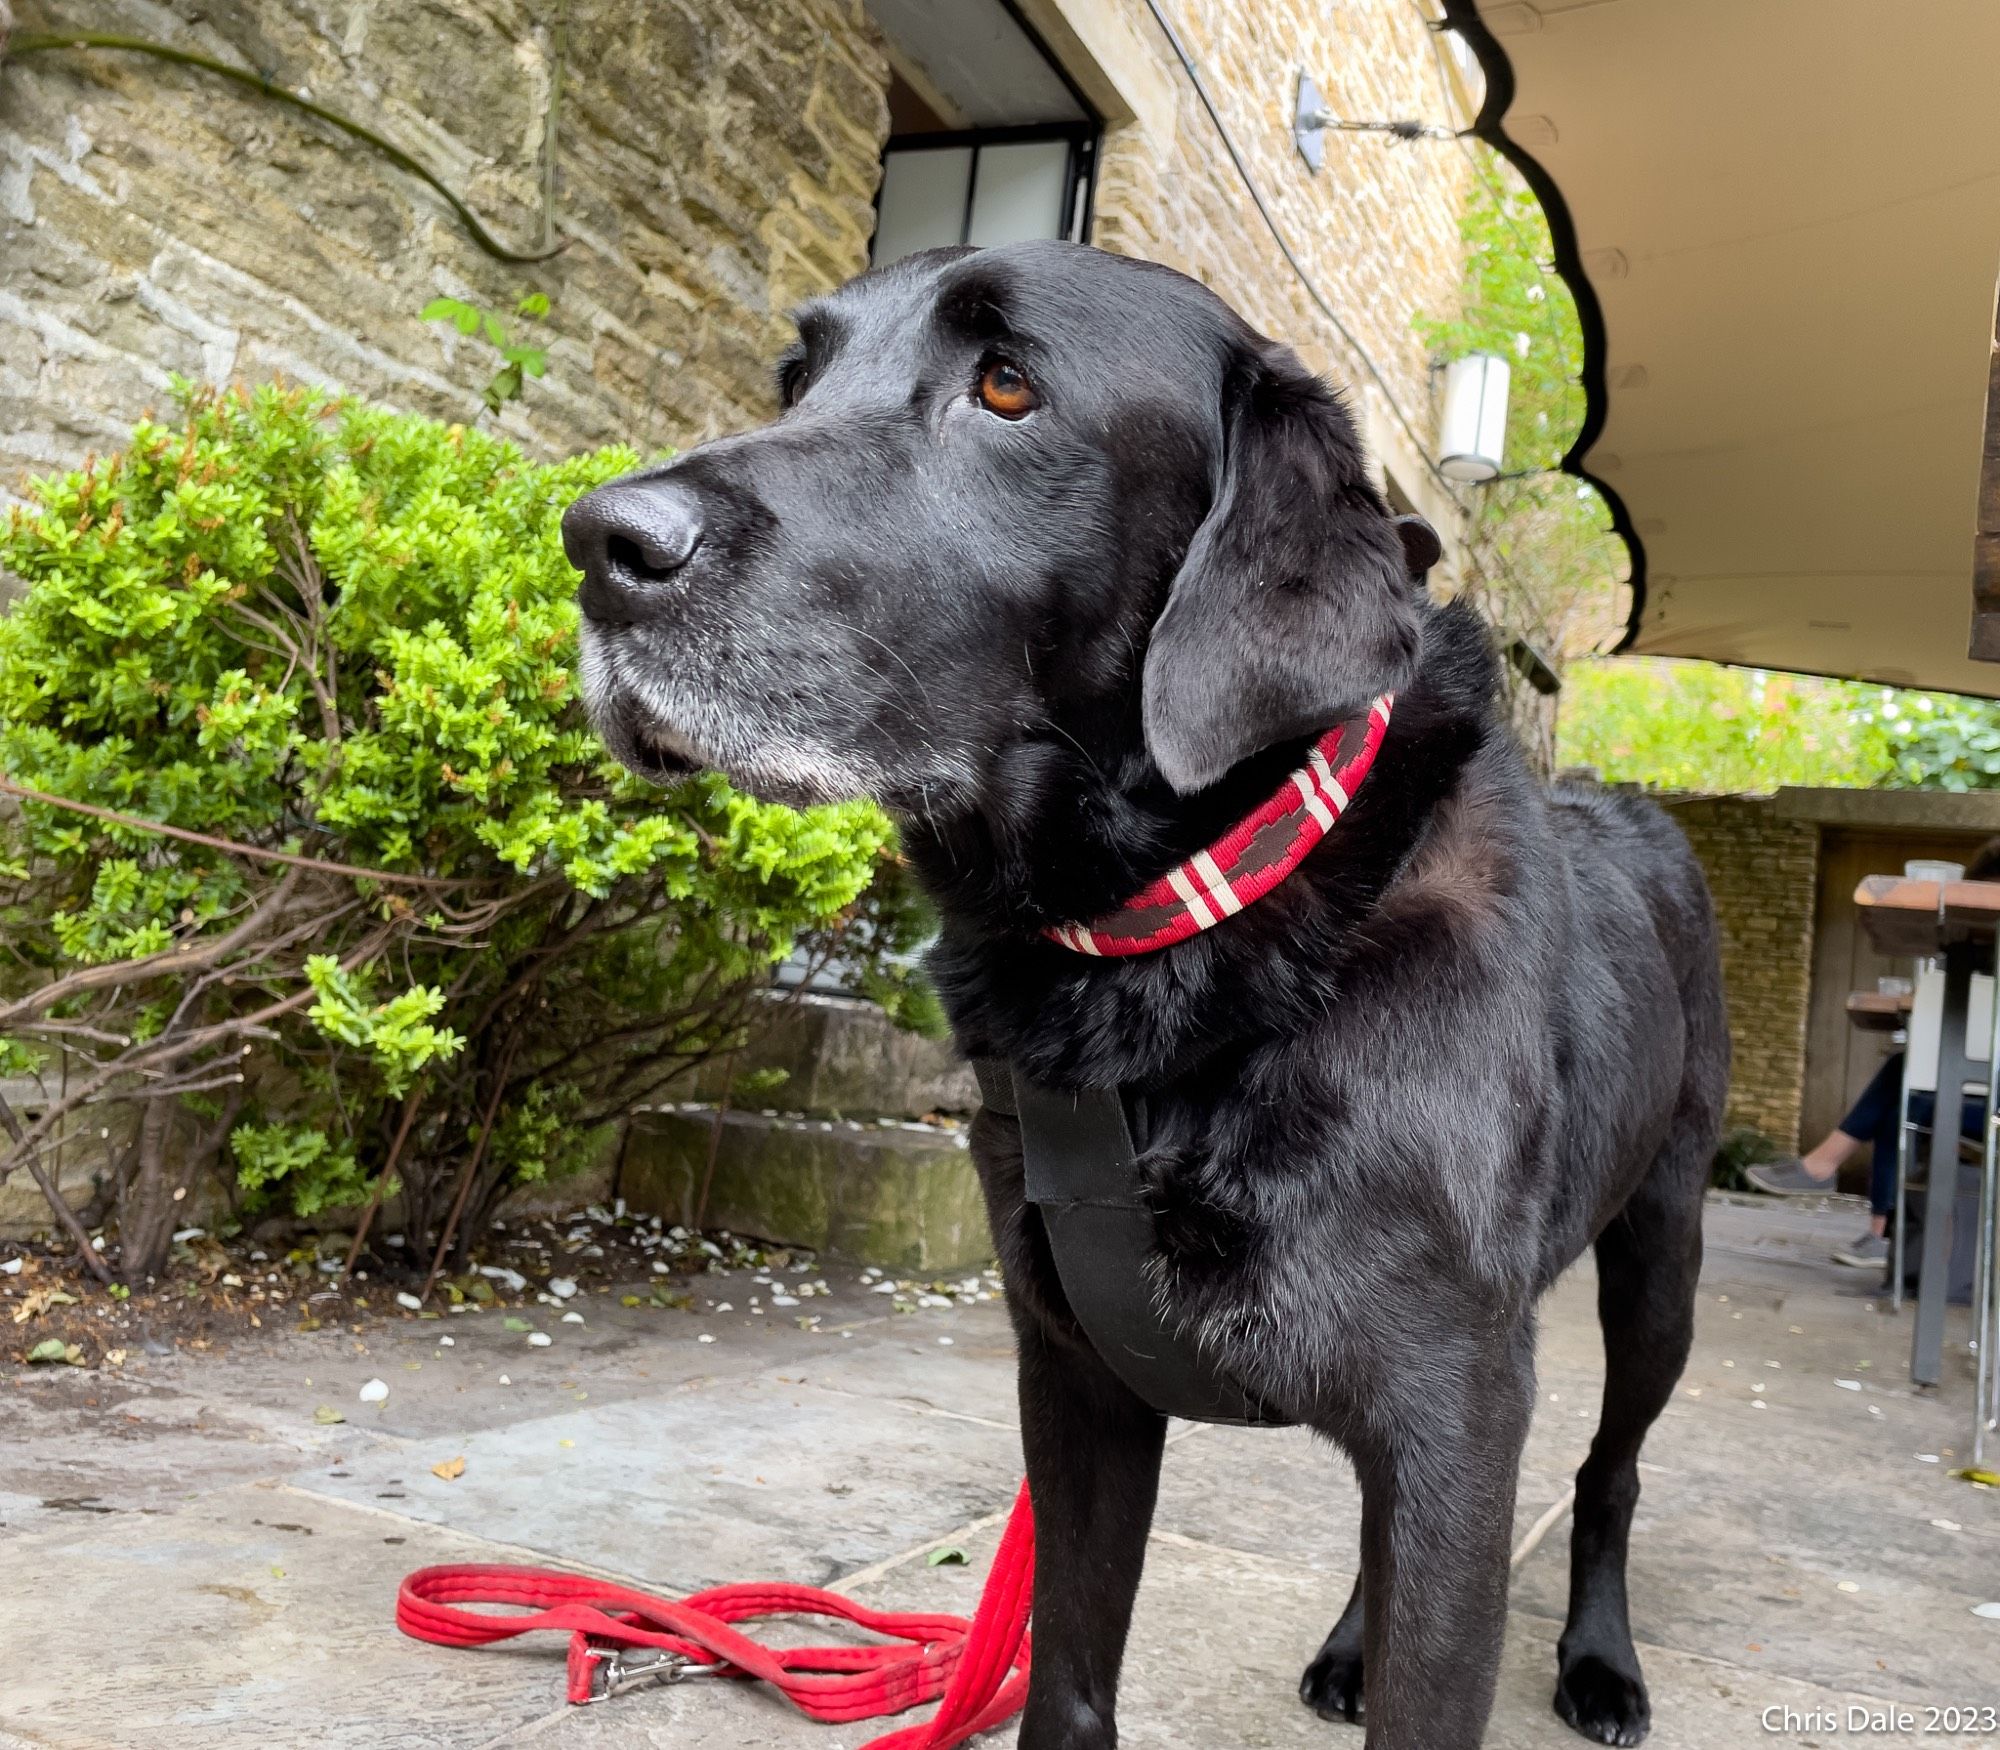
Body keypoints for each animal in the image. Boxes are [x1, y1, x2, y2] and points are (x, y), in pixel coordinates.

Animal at [568, 243, 1736, 1750]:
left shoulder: (1456, 1416)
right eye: (795, 379)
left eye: (1009, 386)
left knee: (1610, 1471)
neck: (1170, 937)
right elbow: (1068, 1682)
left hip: (1662, 1255)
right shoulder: (1076, 1380)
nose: (596, 540)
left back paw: (1599, 1660)